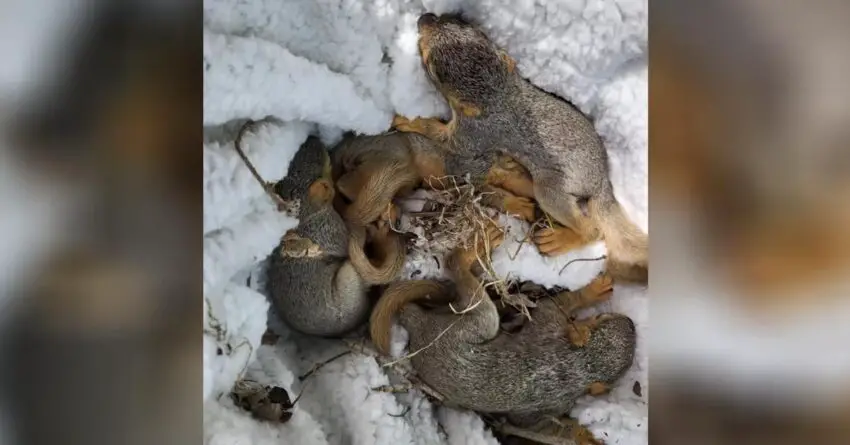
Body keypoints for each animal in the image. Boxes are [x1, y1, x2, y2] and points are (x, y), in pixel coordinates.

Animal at [264, 129, 408, 336]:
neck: (303, 214)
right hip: (349, 280)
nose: (312, 137)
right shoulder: (328, 228)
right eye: (323, 165)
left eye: (292, 164)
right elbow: (342, 243)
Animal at [368, 222, 632, 434]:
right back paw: (467, 255)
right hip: (482, 323)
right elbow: (555, 305)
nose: (631, 325)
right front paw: (592, 292)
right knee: (471, 291)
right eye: (601, 317)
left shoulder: (557, 402)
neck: (578, 364)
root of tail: (419, 323)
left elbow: (527, 422)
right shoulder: (548, 327)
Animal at [392, 14, 648, 284]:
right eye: (465, 26)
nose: (425, 18)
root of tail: (601, 181)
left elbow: (443, 138)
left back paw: (560, 239)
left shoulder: (473, 134)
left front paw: (410, 122)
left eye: (431, 67)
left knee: (593, 230)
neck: (500, 95)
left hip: (553, 188)